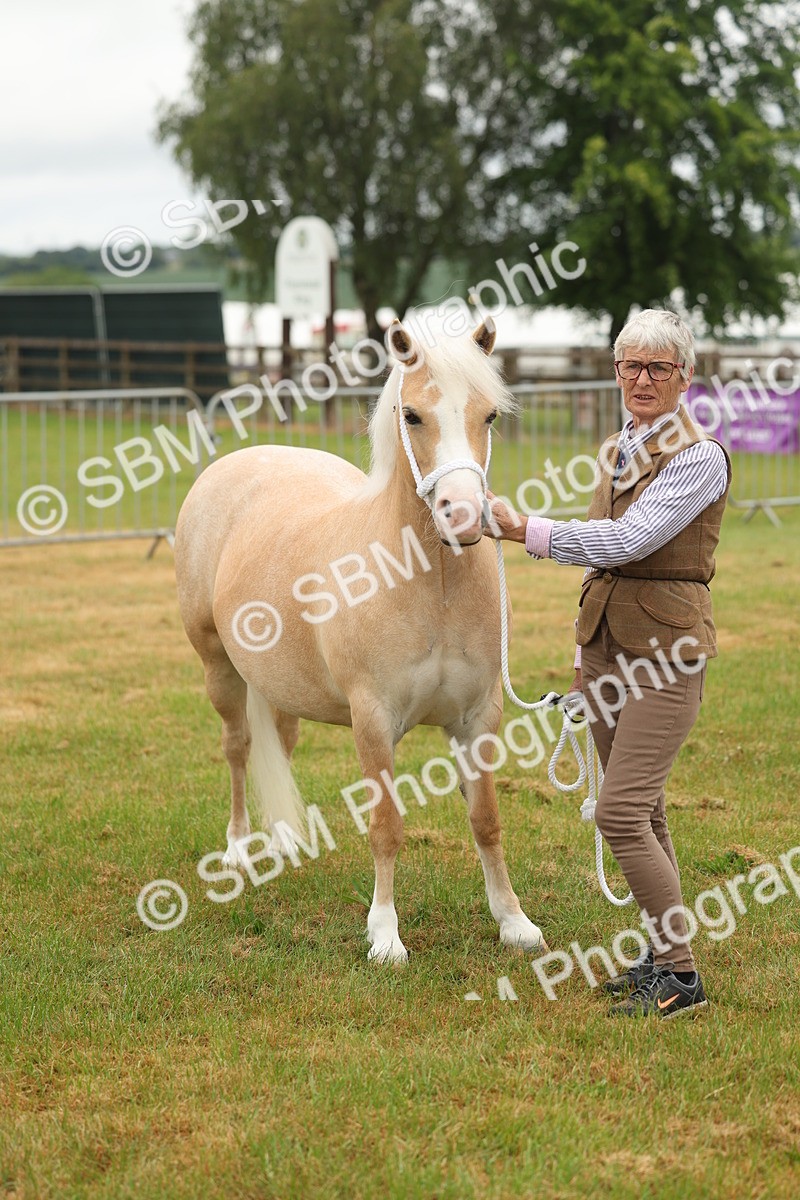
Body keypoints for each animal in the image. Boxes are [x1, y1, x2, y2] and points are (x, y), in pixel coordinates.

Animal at [174, 318, 546, 963]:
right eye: (413, 415)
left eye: (490, 415)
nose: (463, 515)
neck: (432, 584)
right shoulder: (373, 721)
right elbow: (386, 827)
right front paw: (385, 935)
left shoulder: (478, 717)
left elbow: (487, 820)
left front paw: (513, 922)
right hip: (218, 667)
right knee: (238, 748)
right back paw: (241, 847)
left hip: (281, 683)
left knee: (281, 742)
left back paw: (284, 842)